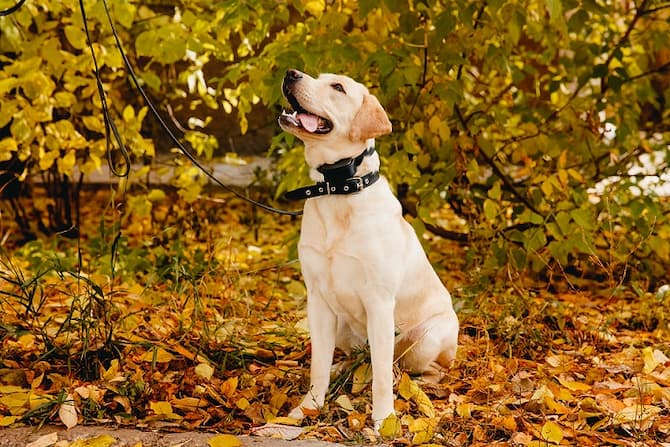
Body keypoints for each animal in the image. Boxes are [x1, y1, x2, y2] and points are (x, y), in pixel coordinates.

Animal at [276, 69, 456, 430]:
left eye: (338, 87)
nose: (291, 73)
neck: (338, 189)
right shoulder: (317, 299)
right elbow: (317, 365)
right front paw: (308, 408)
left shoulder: (379, 301)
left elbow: (383, 378)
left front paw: (384, 420)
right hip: (343, 327)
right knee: (359, 359)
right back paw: (342, 368)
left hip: (425, 336)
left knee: (413, 367)